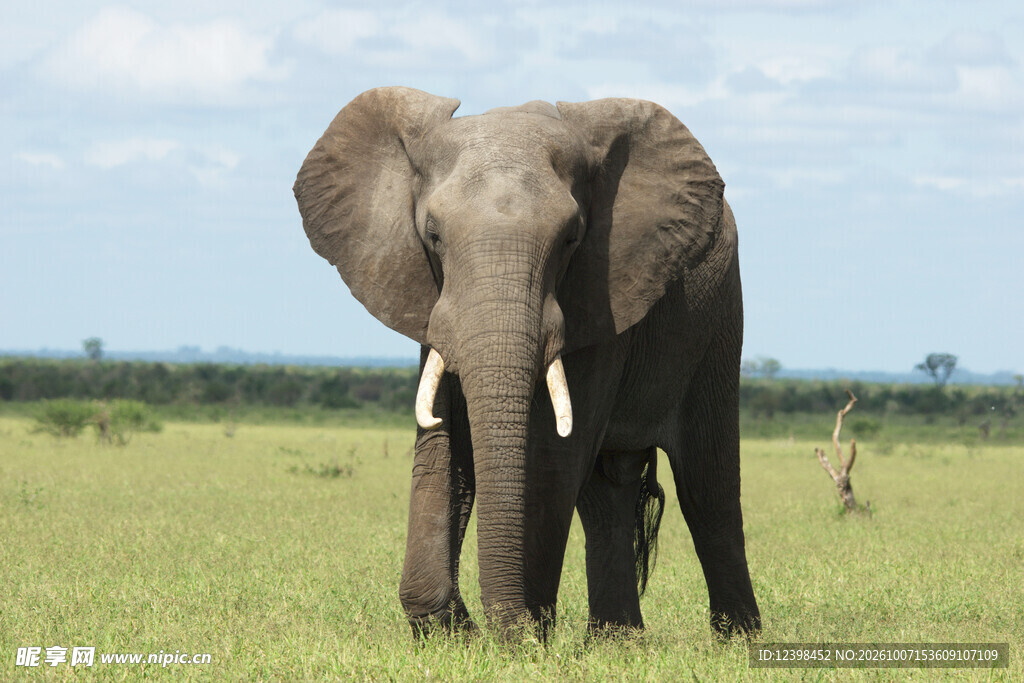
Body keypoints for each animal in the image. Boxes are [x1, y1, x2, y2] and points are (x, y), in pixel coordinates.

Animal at [294, 86, 760, 640]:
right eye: (433, 235)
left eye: (571, 238)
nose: (482, 625)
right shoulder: (432, 300)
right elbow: (442, 442)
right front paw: (453, 630)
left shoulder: (602, 297)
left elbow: (554, 456)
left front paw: (522, 636)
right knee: (607, 491)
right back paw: (618, 643)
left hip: (719, 319)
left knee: (707, 487)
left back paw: (738, 641)